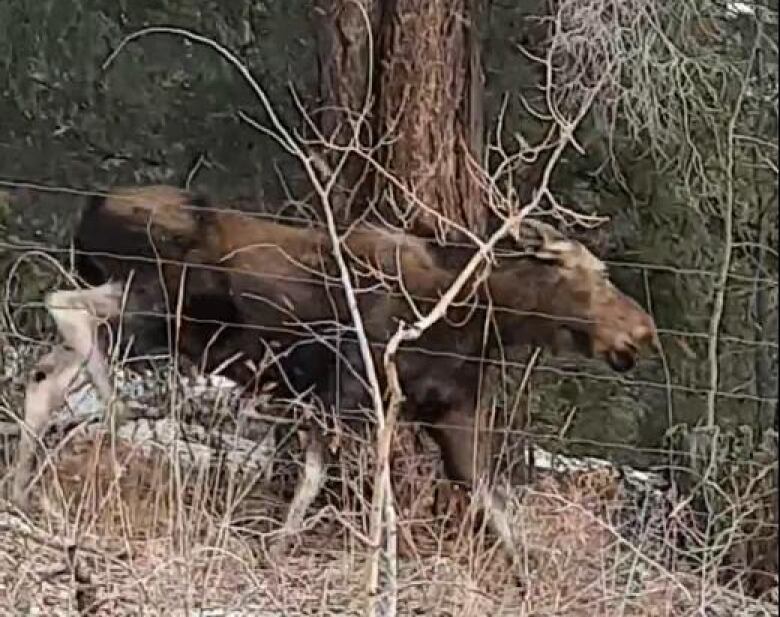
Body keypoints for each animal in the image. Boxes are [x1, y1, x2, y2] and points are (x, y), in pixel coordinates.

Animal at [10, 186, 660, 568]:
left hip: (149, 310)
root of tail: (89, 211)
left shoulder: (447, 414)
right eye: (596, 275)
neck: (482, 321)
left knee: (46, 377)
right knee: (65, 309)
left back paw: (25, 492)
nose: (645, 331)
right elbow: (347, 487)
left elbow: (496, 508)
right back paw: (109, 403)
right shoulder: (353, 393)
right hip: (162, 302)